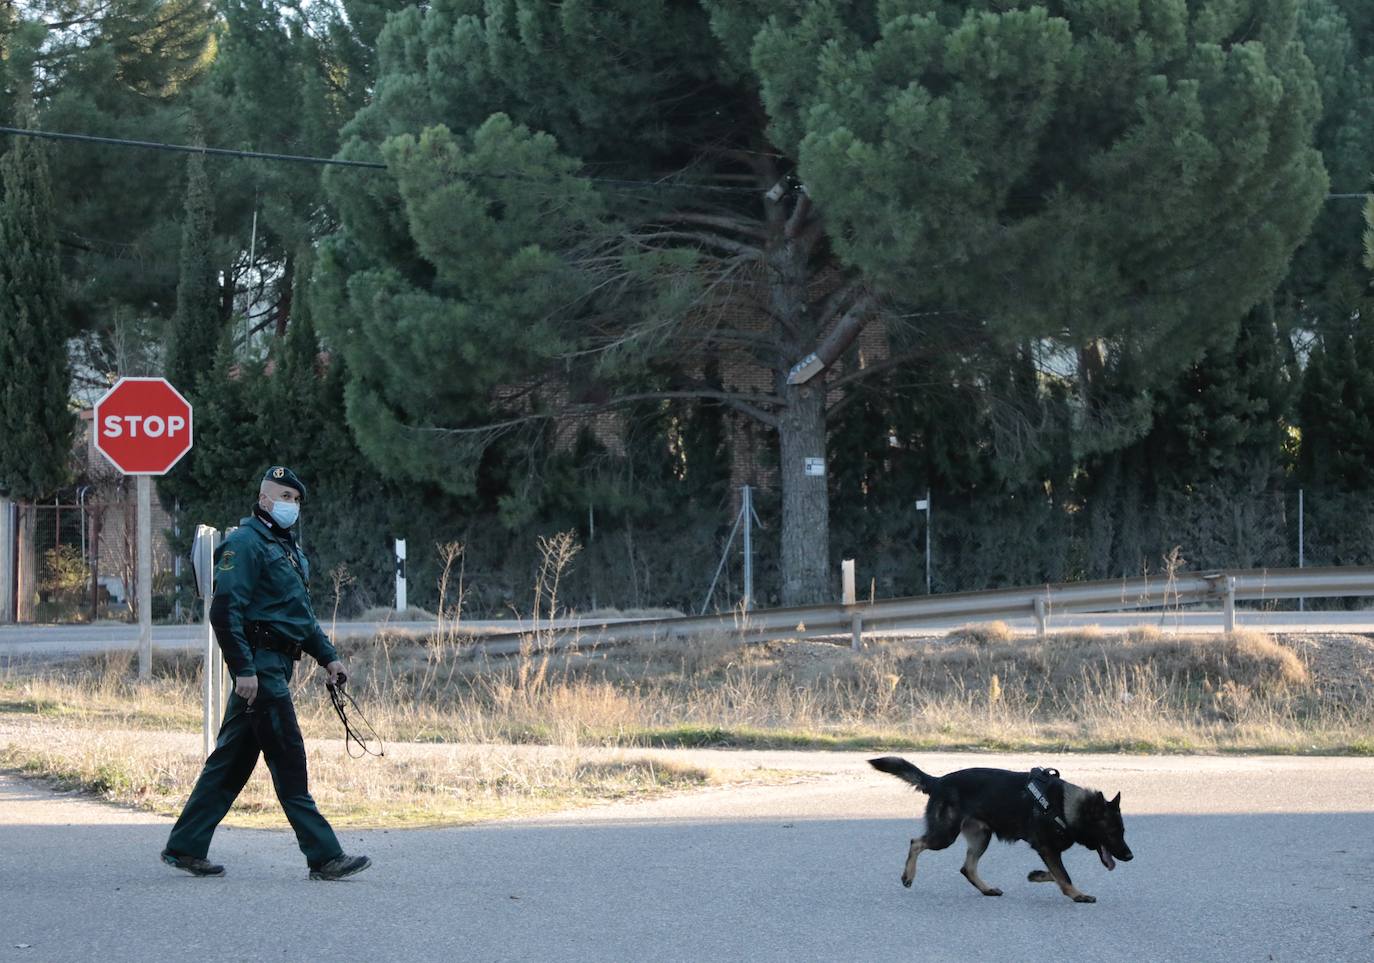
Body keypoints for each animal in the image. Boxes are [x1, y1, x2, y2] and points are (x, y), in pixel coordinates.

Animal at [873, 758, 1132, 901]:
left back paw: (987, 889)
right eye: (1112, 832)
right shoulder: (1047, 848)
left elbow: (1057, 874)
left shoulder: (1048, 852)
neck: (1064, 807)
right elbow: (1063, 875)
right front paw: (1078, 895)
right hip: (945, 836)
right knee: (916, 842)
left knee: (967, 868)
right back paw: (908, 876)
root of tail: (938, 781)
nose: (1130, 856)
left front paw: (1037, 875)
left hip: (982, 837)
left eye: (1122, 831)